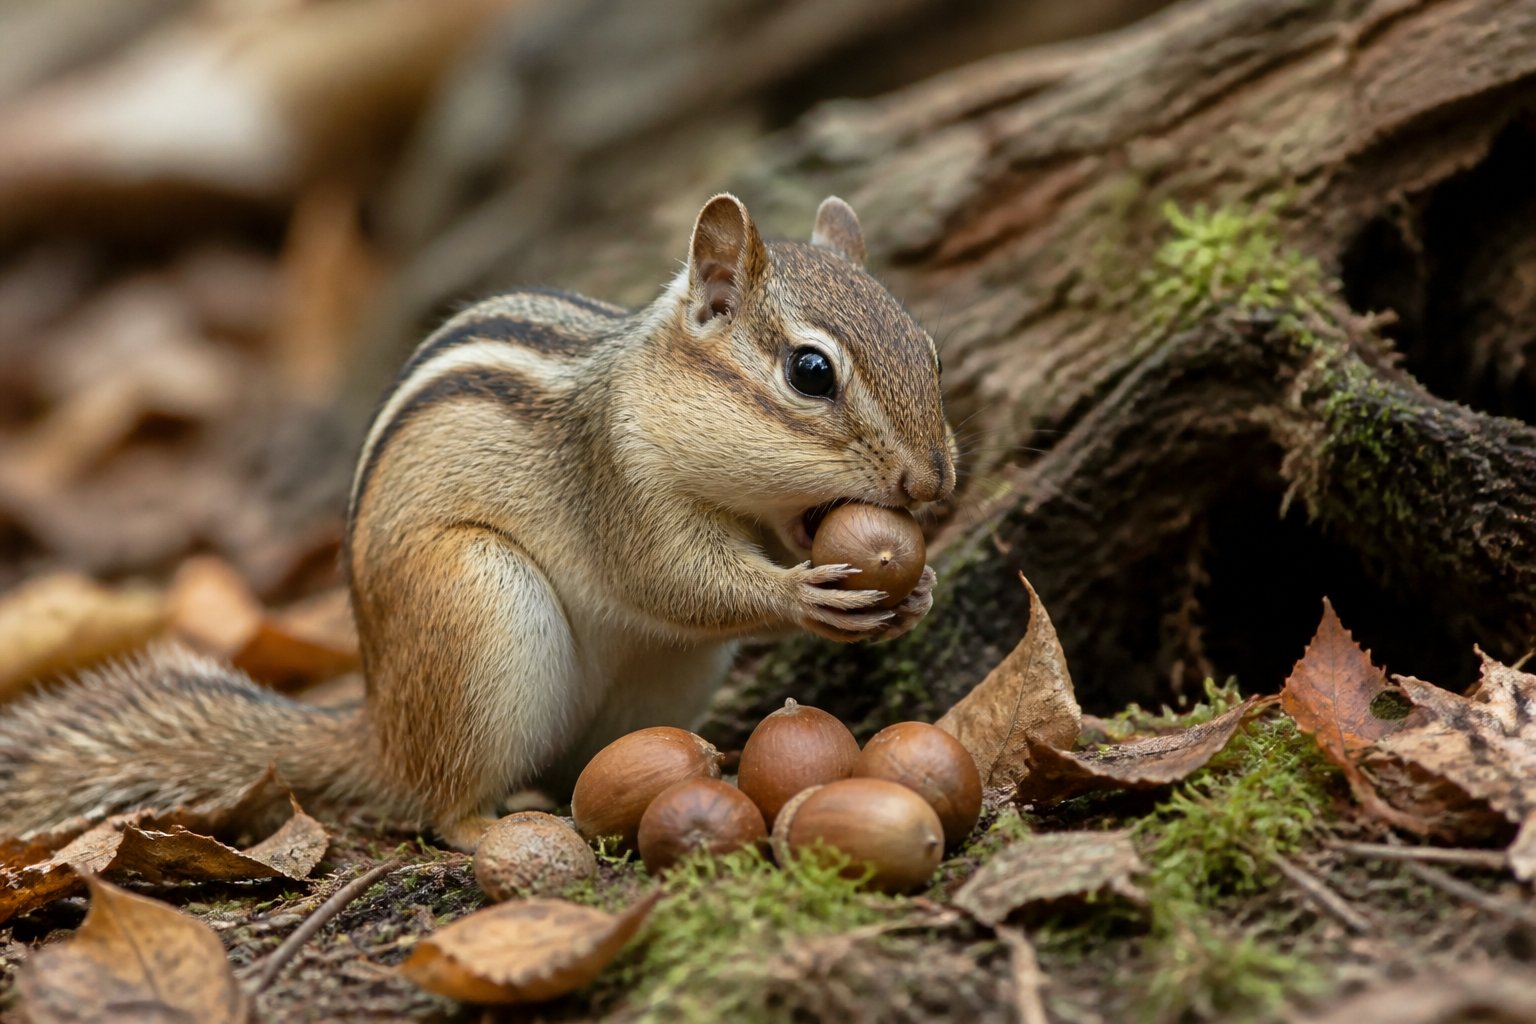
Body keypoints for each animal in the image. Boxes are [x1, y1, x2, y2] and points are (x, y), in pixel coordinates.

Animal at [0, 195, 956, 851]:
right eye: (809, 372)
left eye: (929, 349)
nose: (934, 483)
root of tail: (382, 732)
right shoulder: (617, 487)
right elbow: (674, 579)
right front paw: (805, 597)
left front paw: (919, 591)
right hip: (476, 602)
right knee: (445, 804)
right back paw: (493, 824)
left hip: (657, 676)